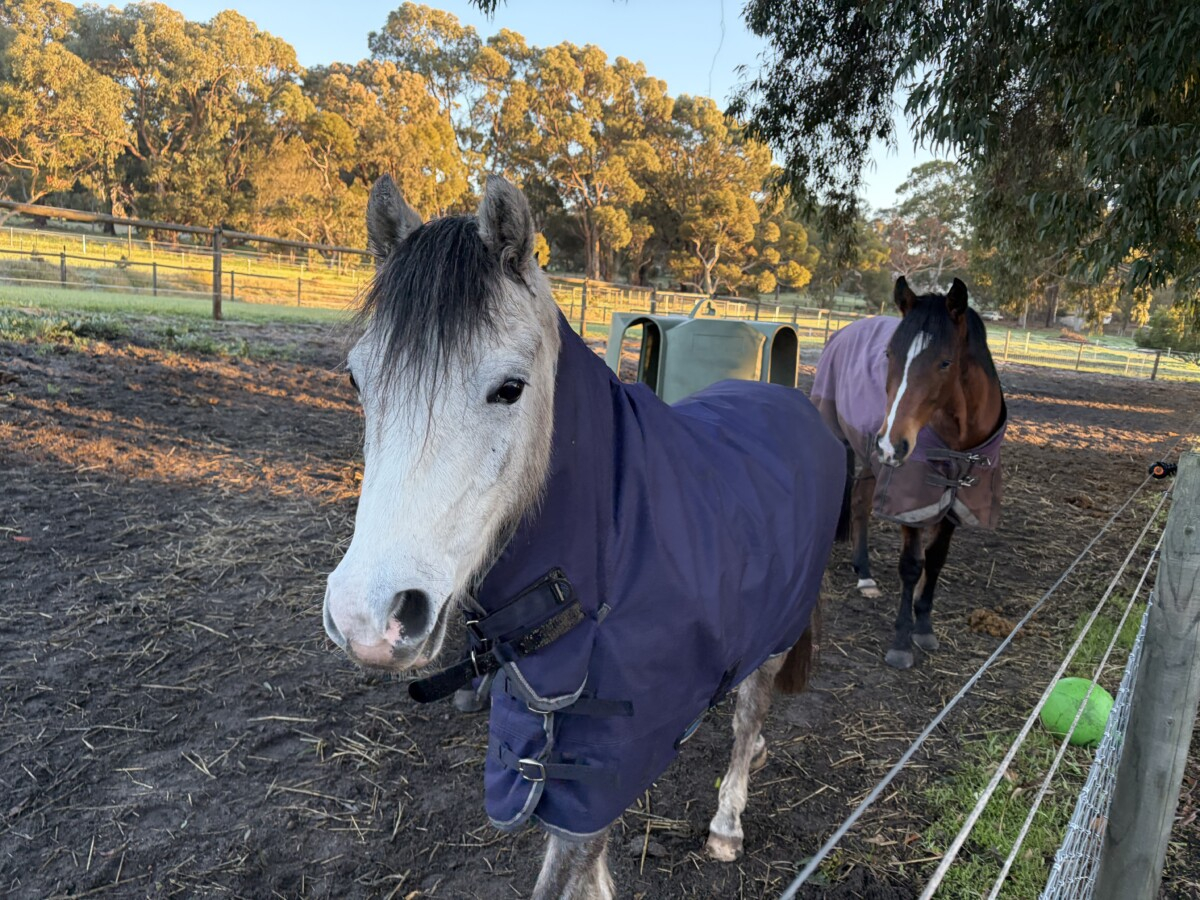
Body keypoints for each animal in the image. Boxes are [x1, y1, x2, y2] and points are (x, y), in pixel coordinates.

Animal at [321, 173, 847, 898]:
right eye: (356, 380)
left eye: (510, 388)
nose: (369, 619)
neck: (603, 569)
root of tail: (790, 401)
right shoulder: (549, 751)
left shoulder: (598, 768)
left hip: (780, 629)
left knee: (749, 716)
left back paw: (727, 822)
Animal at [810, 278, 1007, 669]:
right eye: (889, 355)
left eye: (945, 362)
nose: (891, 443)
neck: (958, 439)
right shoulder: (912, 499)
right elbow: (912, 565)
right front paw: (901, 640)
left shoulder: (955, 498)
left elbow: (936, 559)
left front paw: (924, 625)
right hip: (845, 441)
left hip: (875, 463)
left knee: (860, 503)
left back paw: (865, 573)